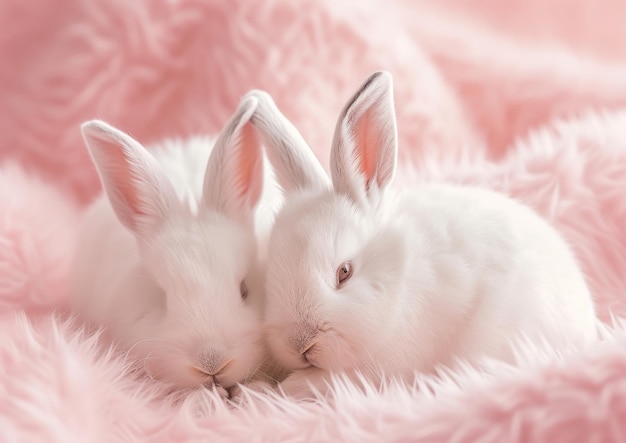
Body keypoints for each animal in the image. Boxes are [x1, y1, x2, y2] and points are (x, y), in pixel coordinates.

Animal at [244, 72, 596, 398]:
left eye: (344, 272)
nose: (300, 344)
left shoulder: (382, 366)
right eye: (269, 276)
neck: (401, 277)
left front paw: (280, 389)